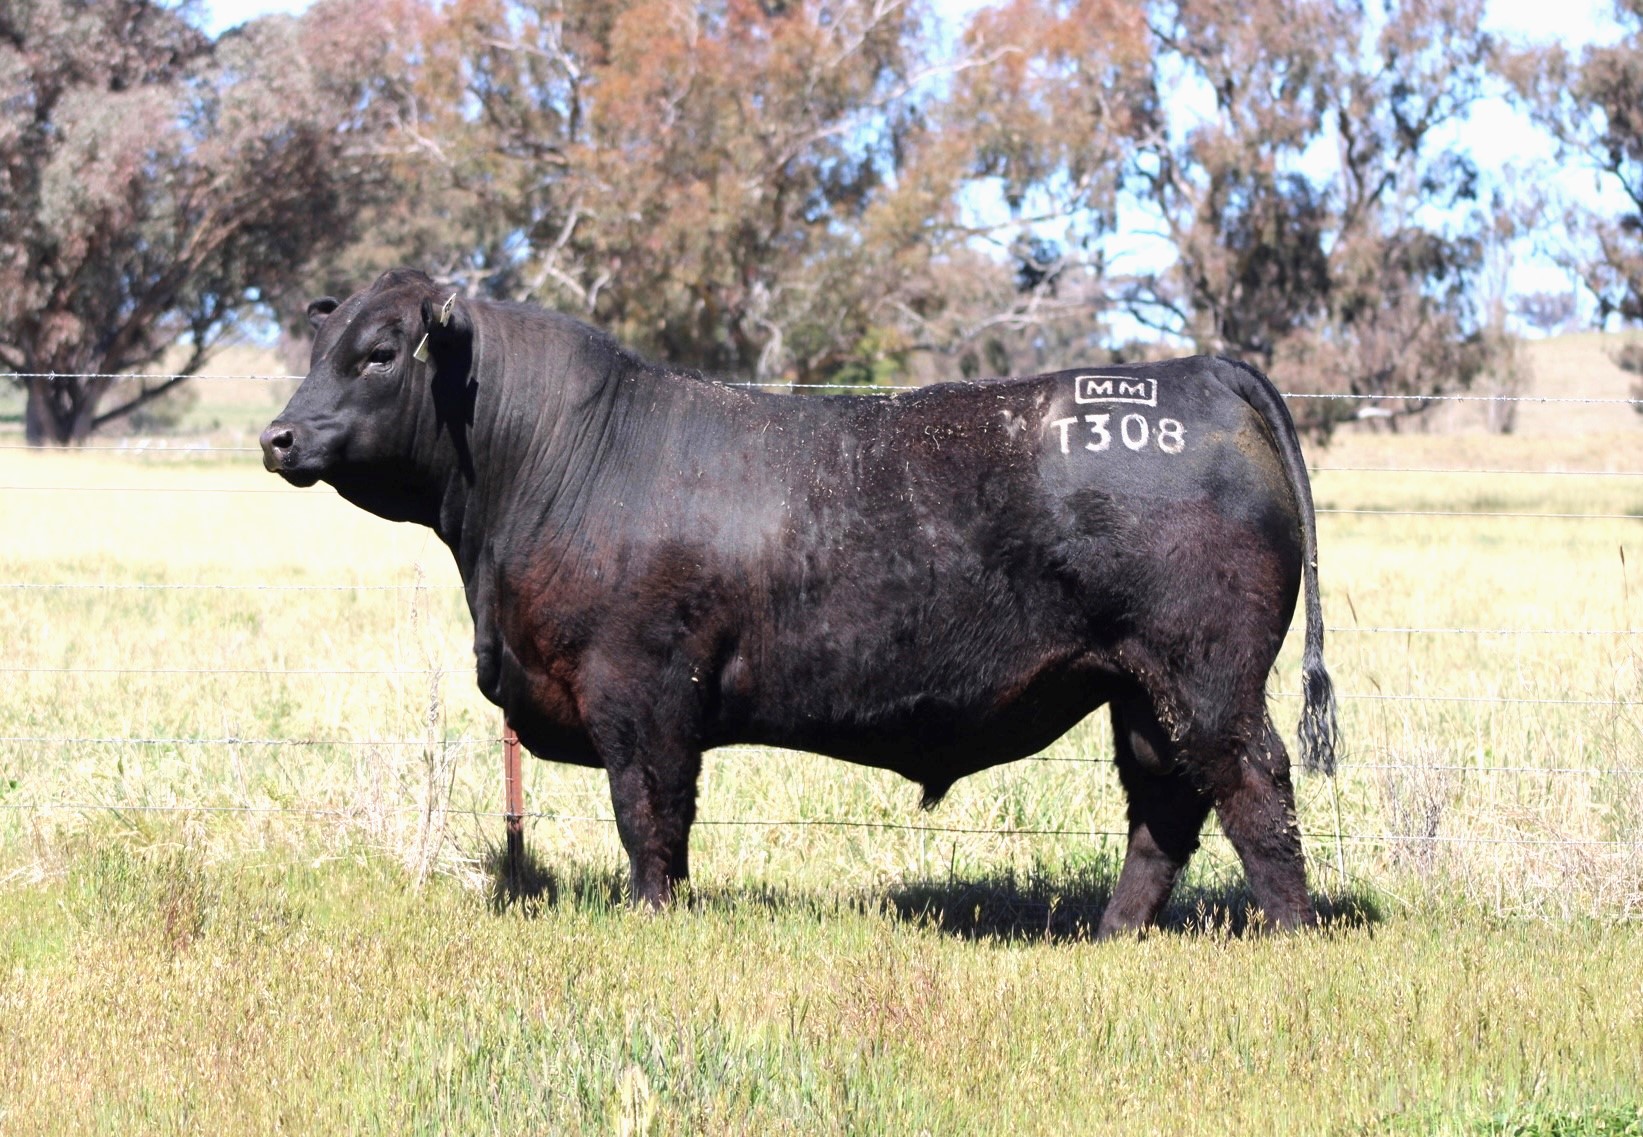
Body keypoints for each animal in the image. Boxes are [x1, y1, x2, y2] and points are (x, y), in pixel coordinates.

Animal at [259, 266, 1334, 933]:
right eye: (319, 349)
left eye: (380, 352)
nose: (277, 436)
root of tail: (1197, 369)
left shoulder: (641, 689)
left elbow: (649, 814)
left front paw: (651, 918)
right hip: (1138, 688)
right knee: (1164, 803)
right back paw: (1113, 934)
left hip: (1207, 676)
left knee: (1255, 786)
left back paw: (1287, 931)